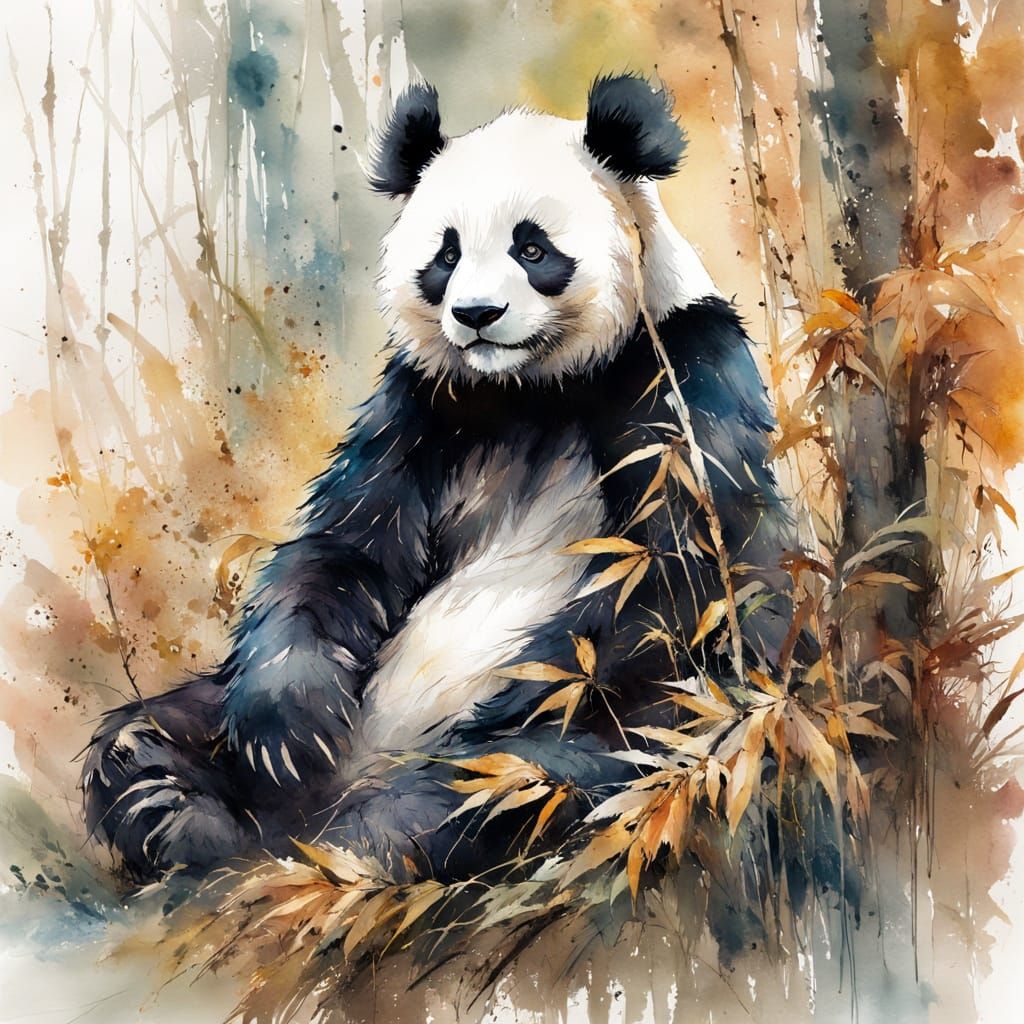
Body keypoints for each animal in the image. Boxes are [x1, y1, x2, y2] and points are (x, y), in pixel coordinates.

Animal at [82, 73, 794, 884]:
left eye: (532, 246)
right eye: (446, 255)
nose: (477, 313)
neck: (534, 386)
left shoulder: (682, 374)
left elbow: (678, 568)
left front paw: (508, 700)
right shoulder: (425, 406)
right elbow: (345, 549)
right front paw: (289, 731)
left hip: (658, 735)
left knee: (517, 784)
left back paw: (350, 840)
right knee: (153, 728)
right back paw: (170, 806)